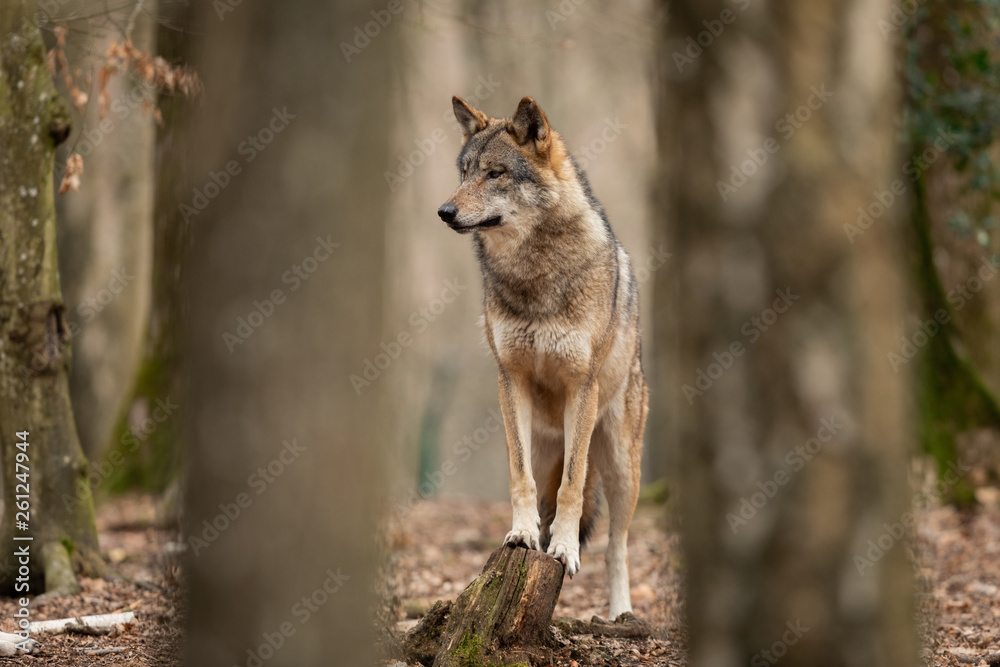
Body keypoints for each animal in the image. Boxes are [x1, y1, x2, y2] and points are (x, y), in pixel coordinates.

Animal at [438, 95, 648, 620]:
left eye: (495, 174)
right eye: (464, 171)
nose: (445, 210)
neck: (533, 273)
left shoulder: (581, 384)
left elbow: (574, 487)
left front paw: (565, 551)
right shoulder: (509, 378)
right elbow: (519, 477)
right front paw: (521, 535)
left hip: (621, 467)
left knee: (616, 545)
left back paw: (620, 614)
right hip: (544, 442)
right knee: (543, 492)